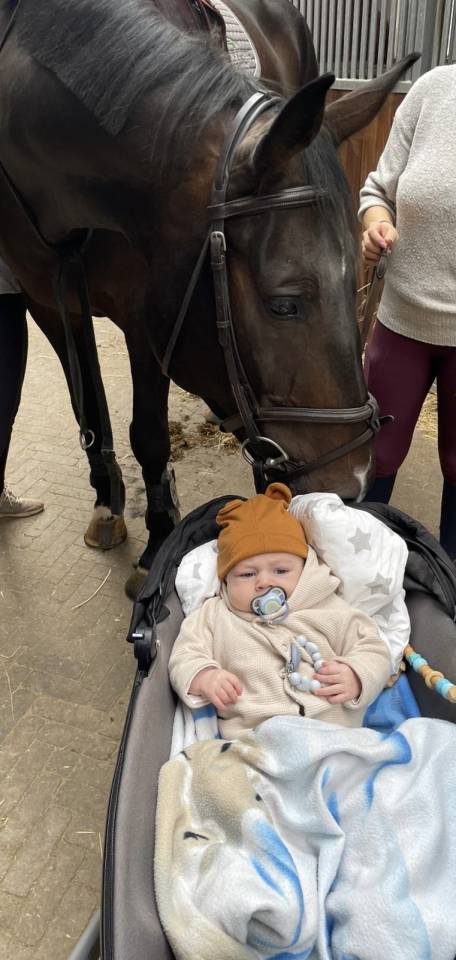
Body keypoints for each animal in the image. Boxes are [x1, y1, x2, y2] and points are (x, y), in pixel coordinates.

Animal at [0, 0, 417, 596]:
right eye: (284, 304)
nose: (353, 480)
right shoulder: (46, 297)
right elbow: (91, 408)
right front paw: (109, 502)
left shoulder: (145, 320)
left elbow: (149, 434)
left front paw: (157, 541)